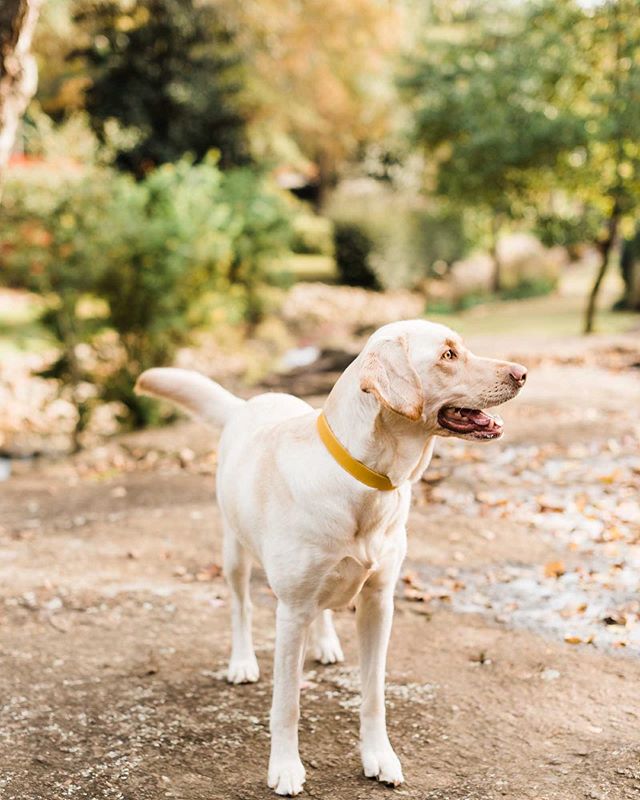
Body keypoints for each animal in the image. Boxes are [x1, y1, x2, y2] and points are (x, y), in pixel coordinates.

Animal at [135, 318, 524, 792]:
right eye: (448, 355)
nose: (523, 373)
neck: (368, 480)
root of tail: (248, 403)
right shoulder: (290, 611)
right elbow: (287, 703)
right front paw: (285, 767)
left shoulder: (378, 602)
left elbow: (373, 694)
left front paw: (379, 756)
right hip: (235, 553)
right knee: (241, 607)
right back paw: (243, 662)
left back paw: (323, 642)